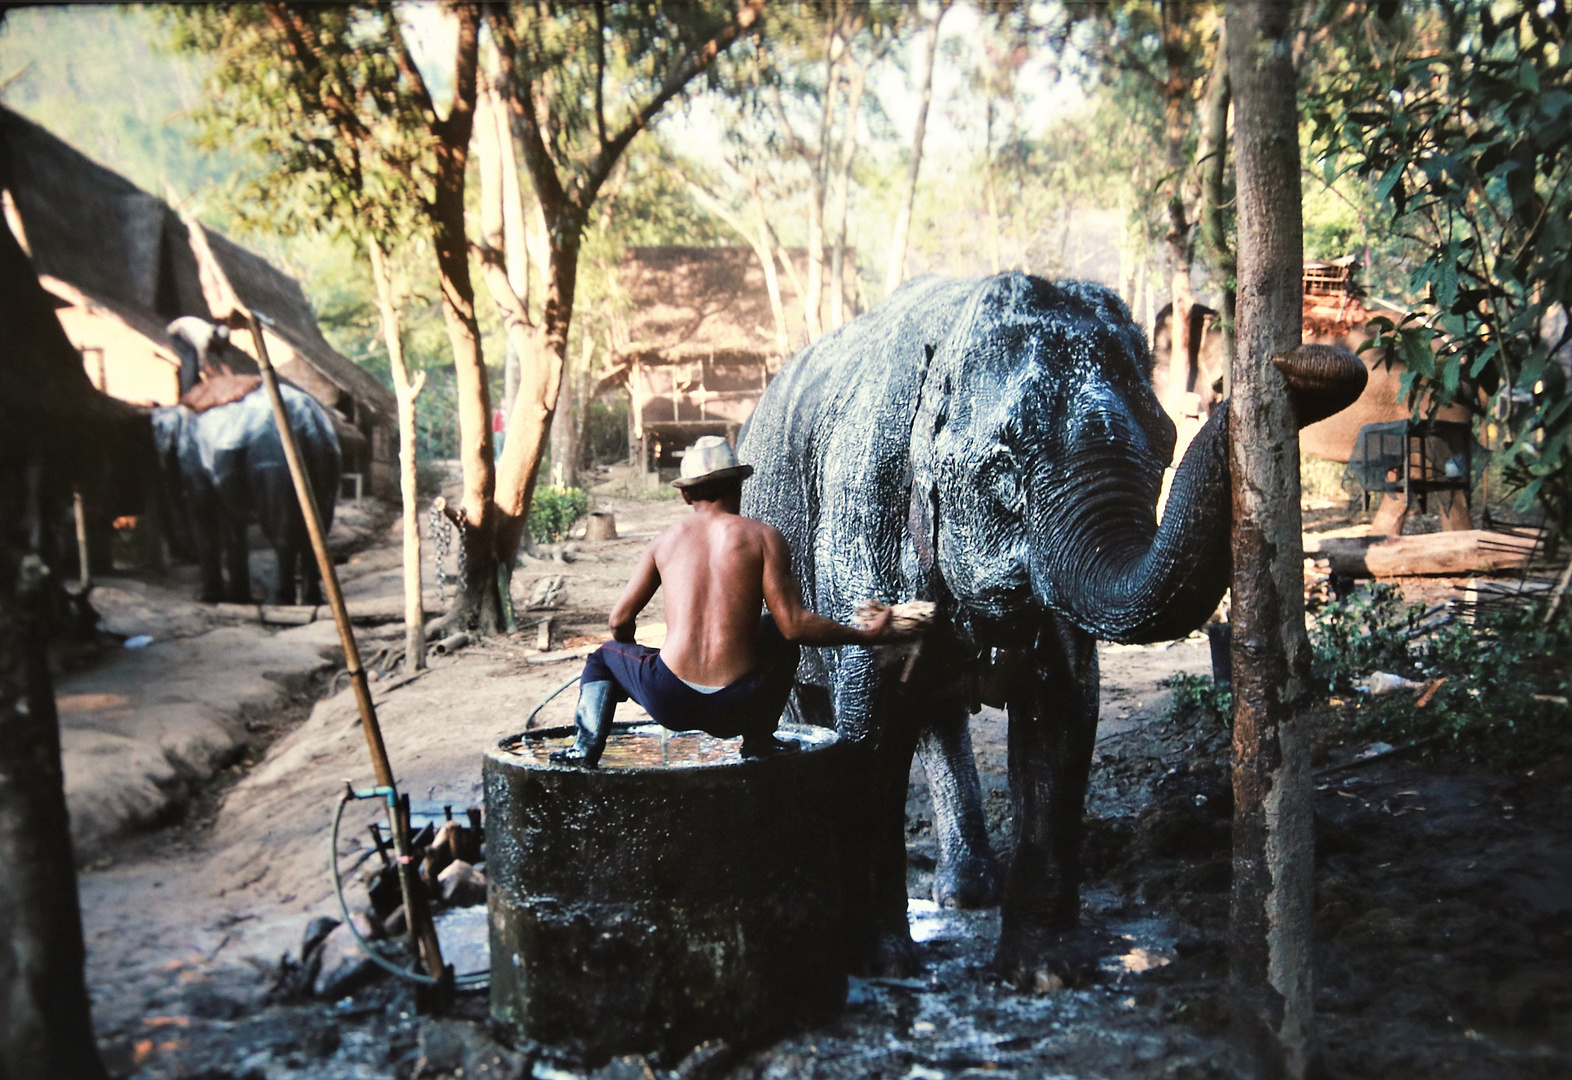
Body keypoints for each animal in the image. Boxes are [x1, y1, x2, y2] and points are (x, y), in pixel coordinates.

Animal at [153, 319, 341, 609]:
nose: (218, 334)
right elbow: (233, 527)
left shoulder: (195, 465)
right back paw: (311, 600)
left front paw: (206, 597)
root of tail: (312, 423)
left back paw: (277, 601)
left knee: (282, 534)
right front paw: (238, 599)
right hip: (328, 464)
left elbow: (205, 515)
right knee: (318, 529)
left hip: (274, 468)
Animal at [735, 271, 1364, 980]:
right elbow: (869, 723)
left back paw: (968, 892)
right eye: (1003, 470)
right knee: (820, 708)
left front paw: (1044, 972)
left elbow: (1063, 710)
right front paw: (883, 965)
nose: (1307, 362)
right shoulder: (862, 509)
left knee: (939, 716)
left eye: (1165, 448)